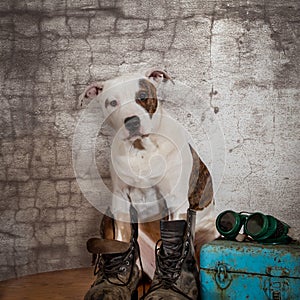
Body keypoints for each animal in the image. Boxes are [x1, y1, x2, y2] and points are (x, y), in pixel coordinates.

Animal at [81, 69, 219, 298]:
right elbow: (120, 240)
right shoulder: (120, 201)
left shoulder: (176, 203)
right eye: (112, 102)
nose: (132, 121)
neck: (141, 149)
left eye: (143, 96)